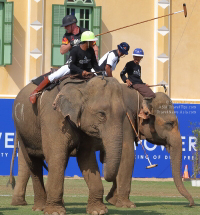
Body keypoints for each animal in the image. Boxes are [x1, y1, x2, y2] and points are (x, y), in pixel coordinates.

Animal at [12, 76, 126, 215]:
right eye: (101, 114)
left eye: (124, 114)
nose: (103, 156)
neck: (82, 85)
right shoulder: (53, 117)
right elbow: (56, 155)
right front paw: (55, 212)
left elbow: (86, 158)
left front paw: (98, 211)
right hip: (22, 131)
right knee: (34, 164)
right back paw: (40, 207)